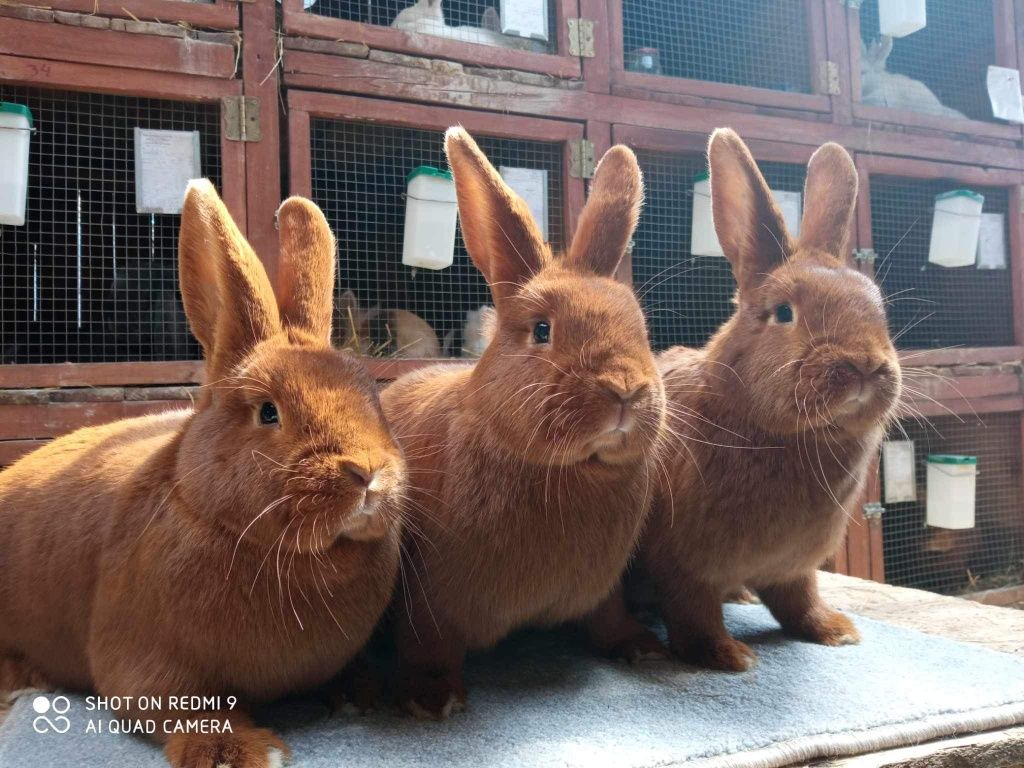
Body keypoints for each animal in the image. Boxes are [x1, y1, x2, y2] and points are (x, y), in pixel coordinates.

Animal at [0, 182, 407, 768]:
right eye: (268, 412)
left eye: (370, 392)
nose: (368, 472)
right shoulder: (144, 657)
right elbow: (178, 707)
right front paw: (239, 752)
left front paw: (375, 692)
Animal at [380, 128, 667, 720]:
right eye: (541, 330)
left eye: (640, 328)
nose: (625, 389)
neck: (572, 471)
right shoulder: (430, 592)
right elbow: (427, 640)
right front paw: (431, 697)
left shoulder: (604, 585)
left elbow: (609, 616)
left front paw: (641, 646)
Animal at [602, 132, 901, 671]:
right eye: (784, 313)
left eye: (878, 308)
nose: (865, 366)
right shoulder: (684, 564)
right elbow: (692, 610)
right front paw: (727, 656)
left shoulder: (794, 568)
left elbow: (799, 600)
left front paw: (836, 631)